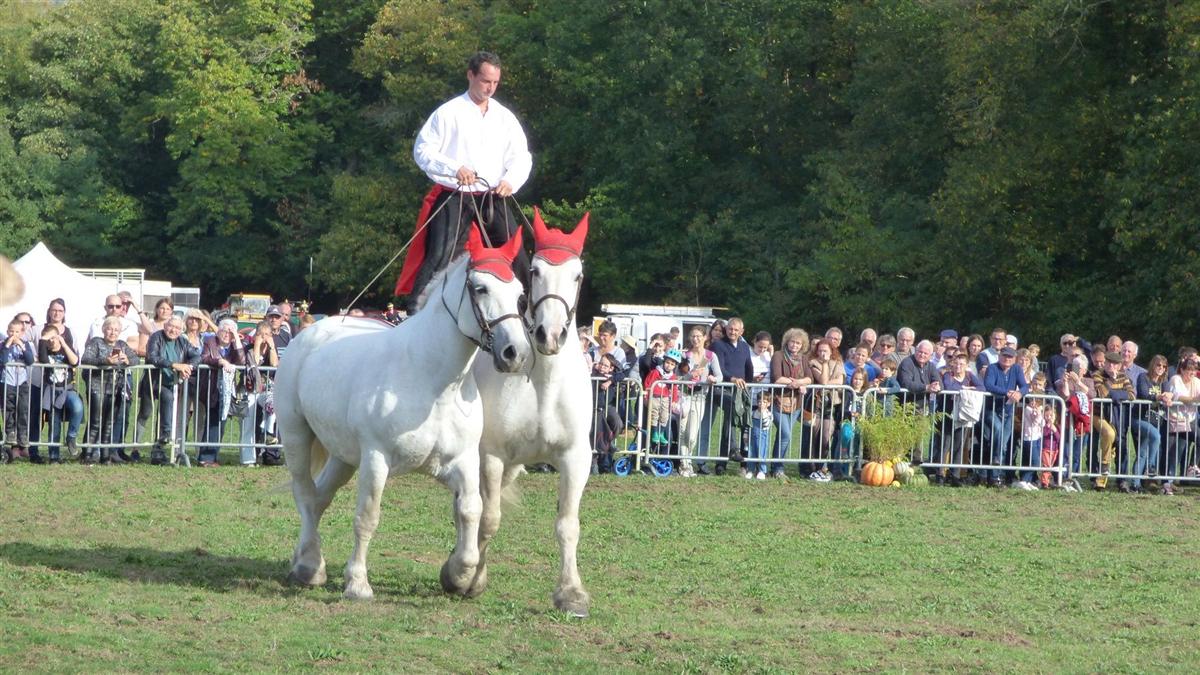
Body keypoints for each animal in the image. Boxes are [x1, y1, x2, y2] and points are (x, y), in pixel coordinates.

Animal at [274, 225, 532, 601]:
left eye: (519, 293)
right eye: (480, 287)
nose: (515, 353)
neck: (433, 382)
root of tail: (308, 333)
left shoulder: (462, 462)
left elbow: (471, 511)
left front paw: (459, 575)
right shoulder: (376, 459)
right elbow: (367, 517)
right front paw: (358, 583)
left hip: (343, 456)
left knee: (319, 498)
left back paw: (305, 561)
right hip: (297, 437)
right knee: (305, 494)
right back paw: (310, 566)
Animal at [469, 208, 594, 617]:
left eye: (577, 275)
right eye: (536, 271)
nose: (549, 335)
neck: (543, 384)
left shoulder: (575, 459)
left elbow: (568, 524)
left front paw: (571, 593)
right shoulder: (491, 456)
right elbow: (488, 519)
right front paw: (471, 578)